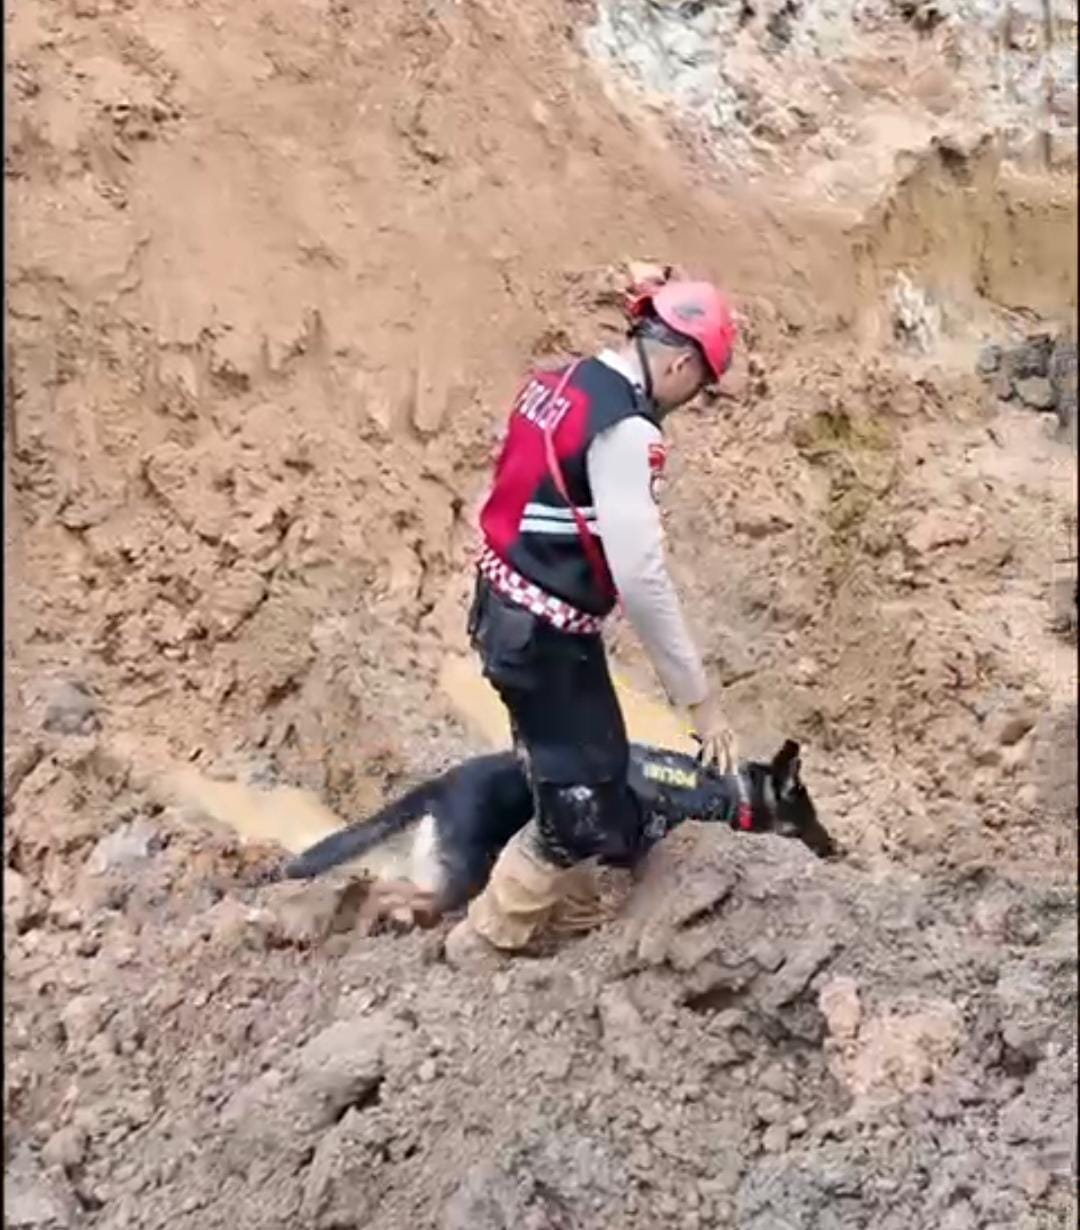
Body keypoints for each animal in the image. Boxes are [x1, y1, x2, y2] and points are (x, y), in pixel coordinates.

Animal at [276, 739, 836, 930]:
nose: (837, 848)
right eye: (809, 818)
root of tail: (441, 784)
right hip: (464, 874)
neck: (724, 790)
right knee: (392, 893)